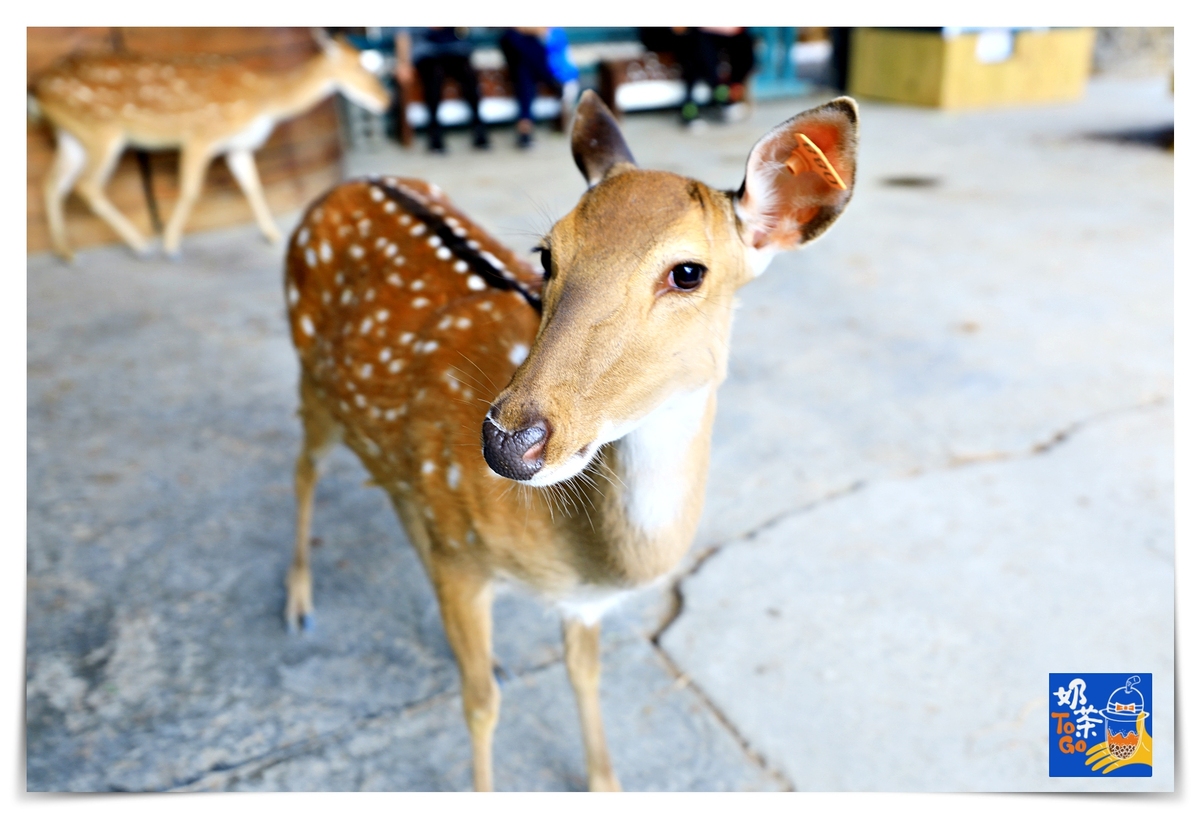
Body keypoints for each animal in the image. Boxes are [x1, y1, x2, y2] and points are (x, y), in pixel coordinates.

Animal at [34, 30, 388, 259]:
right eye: (359, 65)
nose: (384, 101)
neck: (263, 98)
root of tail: (36, 90)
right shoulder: (201, 134)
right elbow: (191, 189)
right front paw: (171, 245)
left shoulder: (237, 146)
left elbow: (253, 186)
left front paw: (274, 236)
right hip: (103, 132)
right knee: (86, 185)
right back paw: (141, 246)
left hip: (72, 135)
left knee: (53, 184)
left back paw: (65, 251)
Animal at [284, 92, 859, 786]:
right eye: (546, 254)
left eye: (688, 272)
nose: (508, 441)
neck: (581, 558)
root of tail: (339, 187)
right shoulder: (463, 560)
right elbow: (480, 705)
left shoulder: (571, 598)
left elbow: (584, 674)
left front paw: (603, 780)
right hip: (313, 379)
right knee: (304, 468)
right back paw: (298, 606)